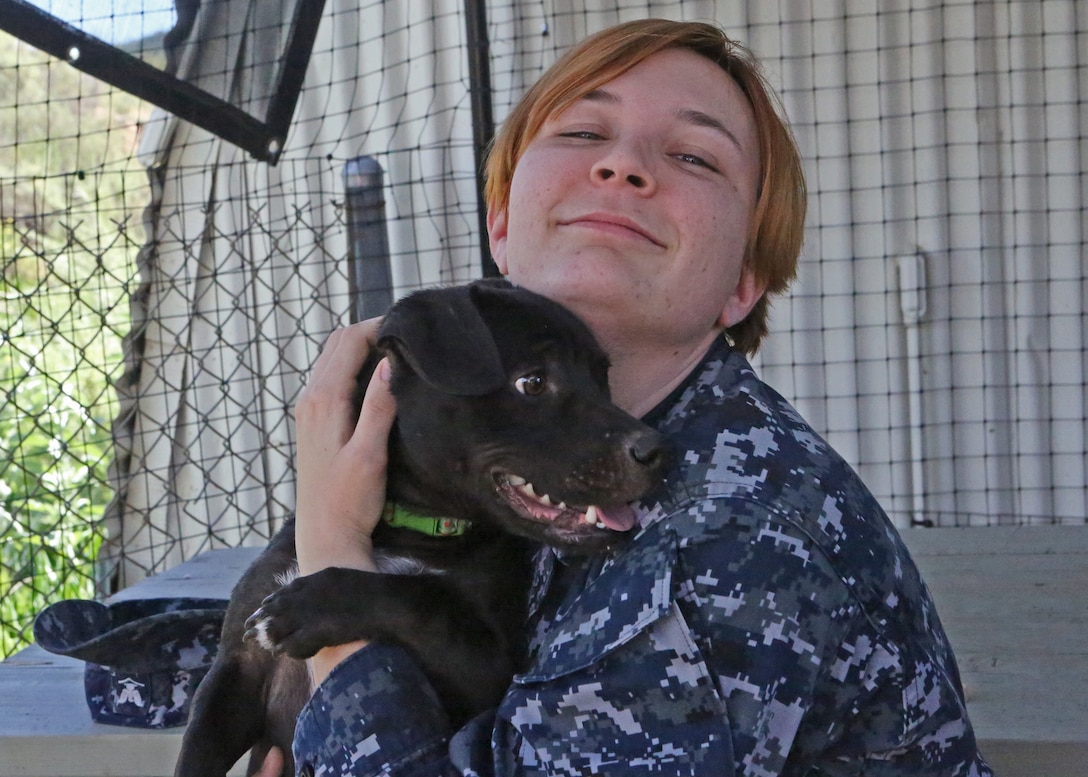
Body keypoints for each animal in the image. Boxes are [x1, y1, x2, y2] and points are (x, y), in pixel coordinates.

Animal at [176, 278, 670, 774]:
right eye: (532, 382)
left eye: (603, 377)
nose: (656, 450)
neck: (409, 525)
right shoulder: (236, 668)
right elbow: (196, 753)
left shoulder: (488, 673)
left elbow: (422, 600)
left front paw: (308, 606)